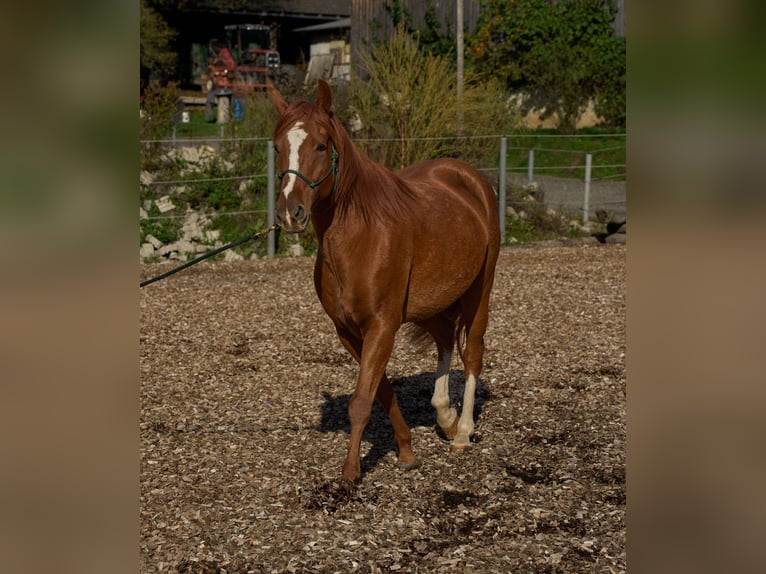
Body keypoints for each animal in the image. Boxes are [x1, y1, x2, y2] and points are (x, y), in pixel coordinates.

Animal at [272, 82, 504, 486]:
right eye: (277, 146)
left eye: (321, 145)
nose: (291, 213)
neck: (360, 236)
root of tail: (469, 177)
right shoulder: (350, 331)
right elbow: (382, 391)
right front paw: (407, 451)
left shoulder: (382, 326)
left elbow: (361, 401)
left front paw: (351, 472)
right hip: (429, 303)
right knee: (445, 339)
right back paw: (444, 416)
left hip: (480, 291)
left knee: (472, 352)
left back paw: (462, 432)